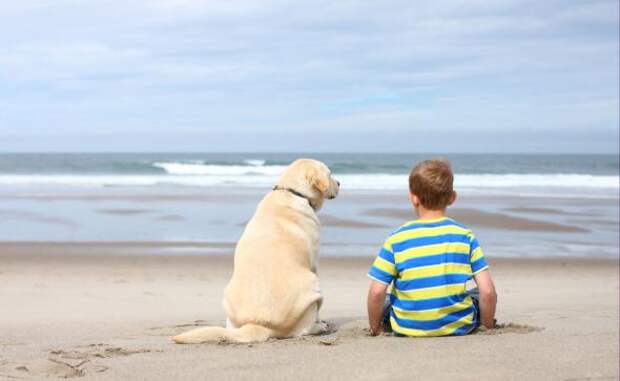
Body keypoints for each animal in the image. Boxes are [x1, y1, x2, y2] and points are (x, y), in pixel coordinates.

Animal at [172, 159, 340, 342]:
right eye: (330, 174)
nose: (339, 183)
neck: (292, 193)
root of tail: (259, 325)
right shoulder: (314, 263)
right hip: (313, 283)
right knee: (305, 327)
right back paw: (320, 327)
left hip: (227, 297)